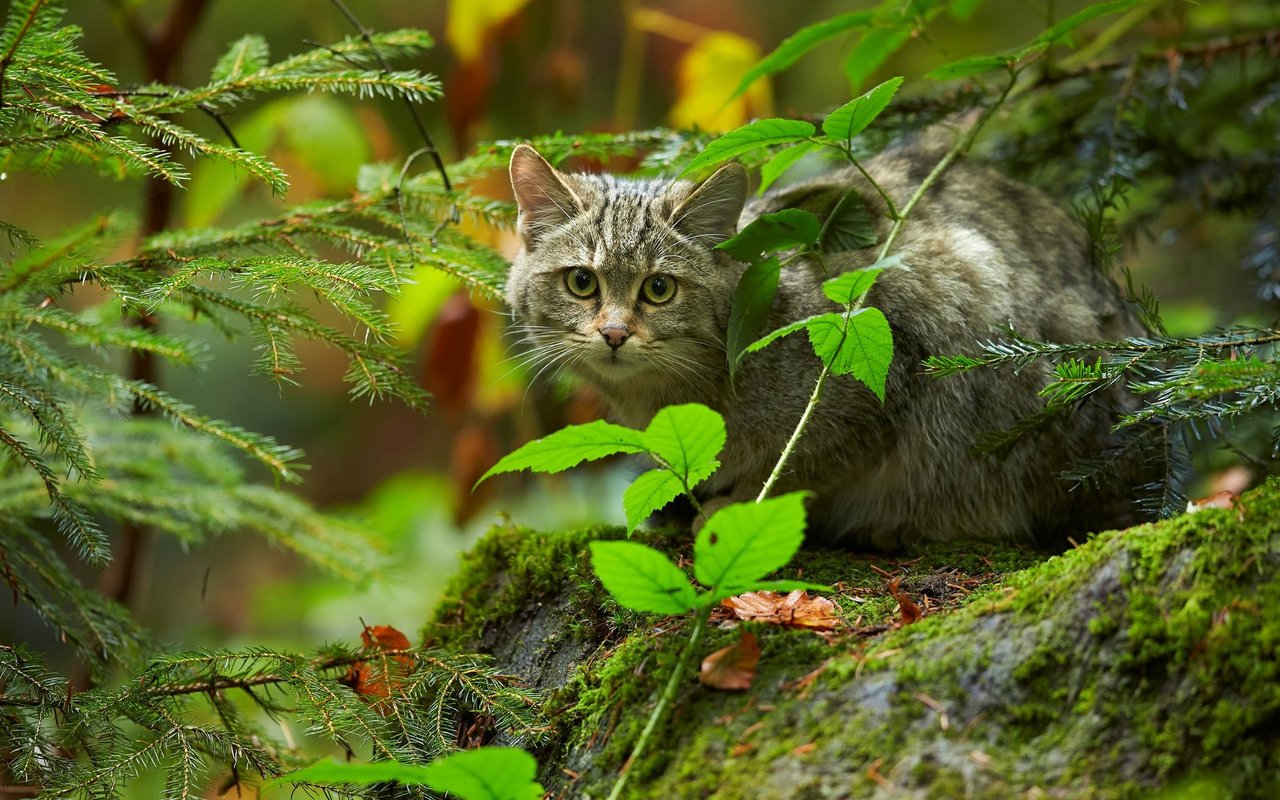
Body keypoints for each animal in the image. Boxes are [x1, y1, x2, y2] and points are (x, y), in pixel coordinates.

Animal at [501, 138, 1162, 547]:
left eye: (659, 289)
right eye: (582, 282)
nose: (614, 333)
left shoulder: (887, 354)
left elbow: (806, 461)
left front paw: (738, 505)